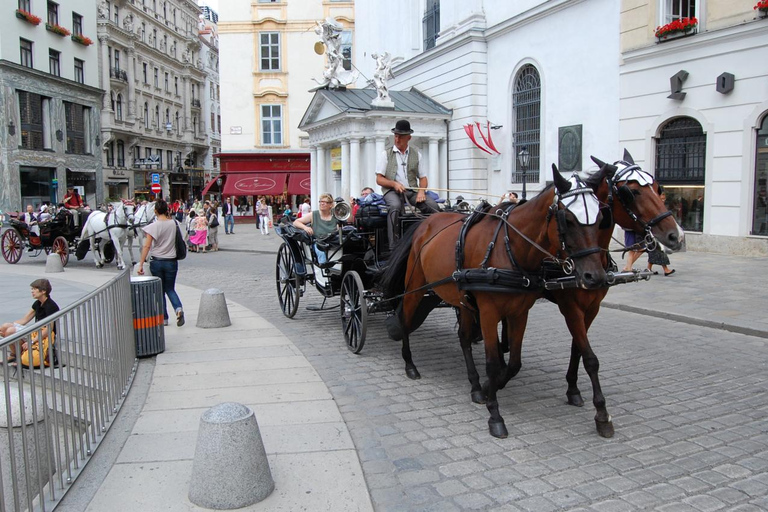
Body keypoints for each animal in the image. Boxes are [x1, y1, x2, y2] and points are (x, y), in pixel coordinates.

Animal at [380, 164, 608, 436]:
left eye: (600, 219)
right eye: (569, 220)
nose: (595, 276)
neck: (509, 247)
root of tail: (425, 222)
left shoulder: (520, 313)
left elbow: (514, 363)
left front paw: (489, 388)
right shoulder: (490, 313)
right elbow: (492, 363)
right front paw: (495, 415)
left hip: (462, 299)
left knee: (464, 338)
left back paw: (475, 385)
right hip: (415, 286)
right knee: (405, 319)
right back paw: (410, 365)